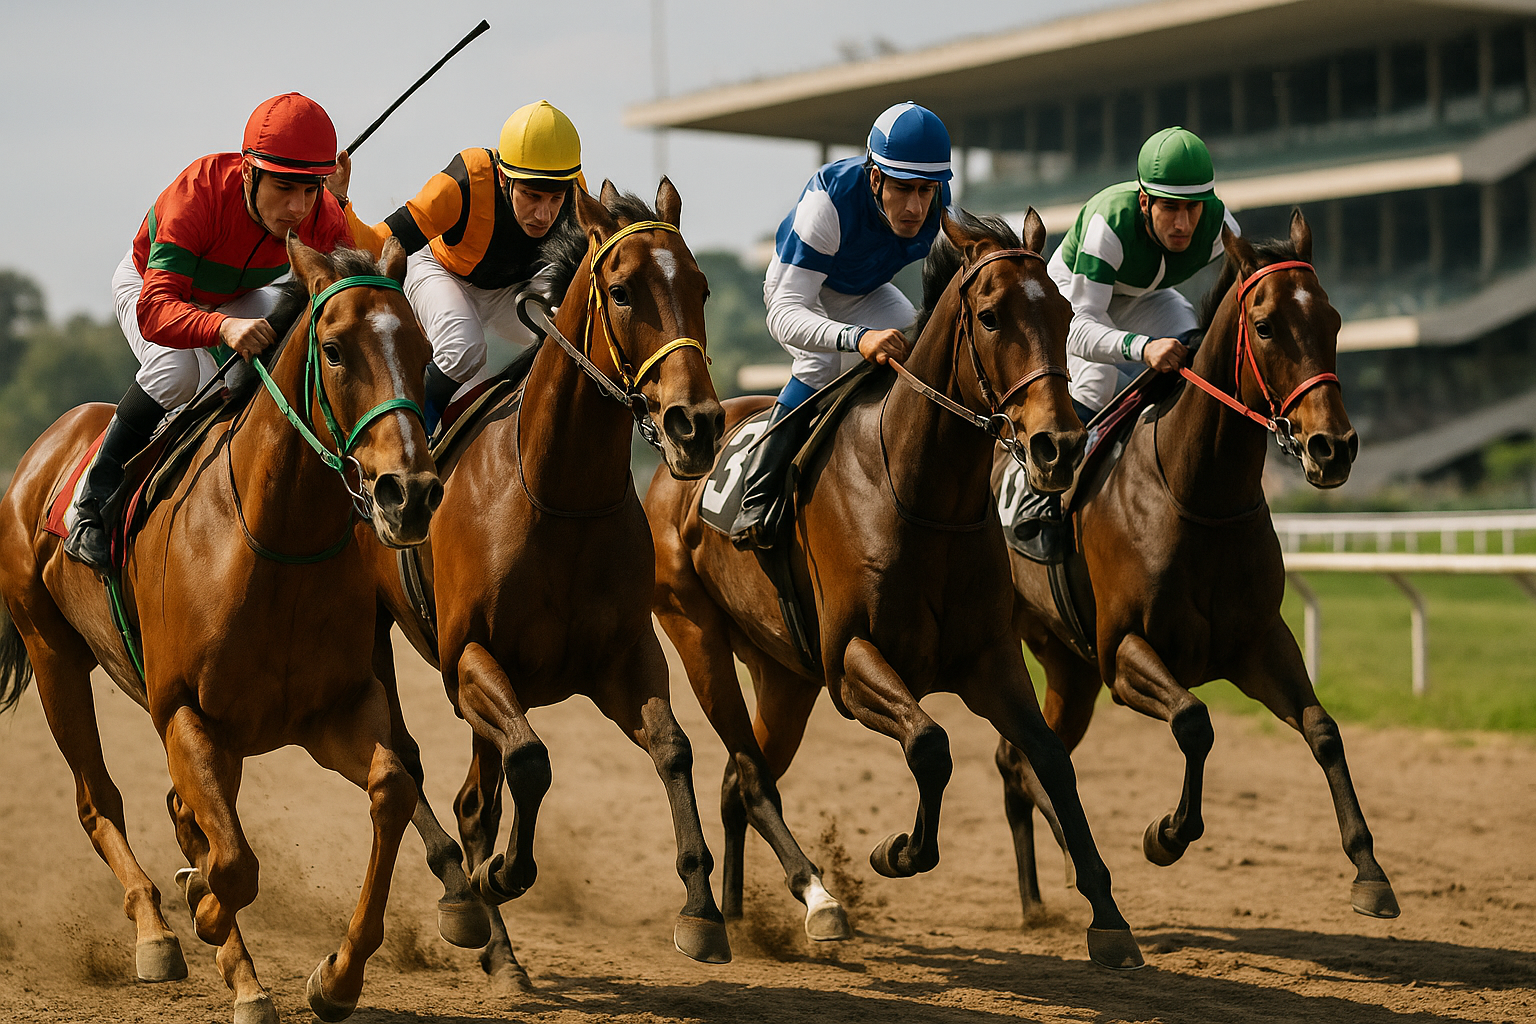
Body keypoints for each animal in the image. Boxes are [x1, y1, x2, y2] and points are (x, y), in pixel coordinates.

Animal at [0, 236, 450, 1024]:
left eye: (424, 351)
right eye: (334, 350)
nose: (411, 494)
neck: (273, 544)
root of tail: (43, 449)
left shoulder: (334, 709)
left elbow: (393, 788)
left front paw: (336, 976)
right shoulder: (185, 713)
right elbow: (235, 864)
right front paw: (207, 911)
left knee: (184, 811)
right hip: (52, 652)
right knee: (98, 800)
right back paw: (159, 930)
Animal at [364, 179, 731, 987]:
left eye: (701, 287)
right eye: (621, 291)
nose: (696, 426)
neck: (555, 491)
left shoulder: (624, 658)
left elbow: (674, 748)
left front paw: (702, 911)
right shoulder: (470, 659)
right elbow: (531, 761)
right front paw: (501, 875)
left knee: (473, 797)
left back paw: (497, 947)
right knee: (408, 762)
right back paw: (465, 899)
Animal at [644, 208, 1145, 970]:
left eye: (1064, 314)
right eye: (991, 317)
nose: (1058, 445)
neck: (920, 491)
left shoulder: (989, 661)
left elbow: (1051, 760)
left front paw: (1109, 917)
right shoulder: (852, 661)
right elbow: (929, 744)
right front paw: (899, 850)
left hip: (785, 674)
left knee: (739, 778)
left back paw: (740, 909)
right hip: (696, 633)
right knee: (749, 773)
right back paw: (793, 904)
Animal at [997, 210, 1399, 923]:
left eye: (1333, 319)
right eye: (1265, 326)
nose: (1334, 448)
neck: (1198, 495)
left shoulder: (1258, 641)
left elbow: (1323, 731)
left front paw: (1369, 871)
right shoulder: (1123, 653)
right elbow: (1193, 720)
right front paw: (1166, 835)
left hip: (1069, 670)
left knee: (1023, 760)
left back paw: (1036, 900)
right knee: (1024, 761)